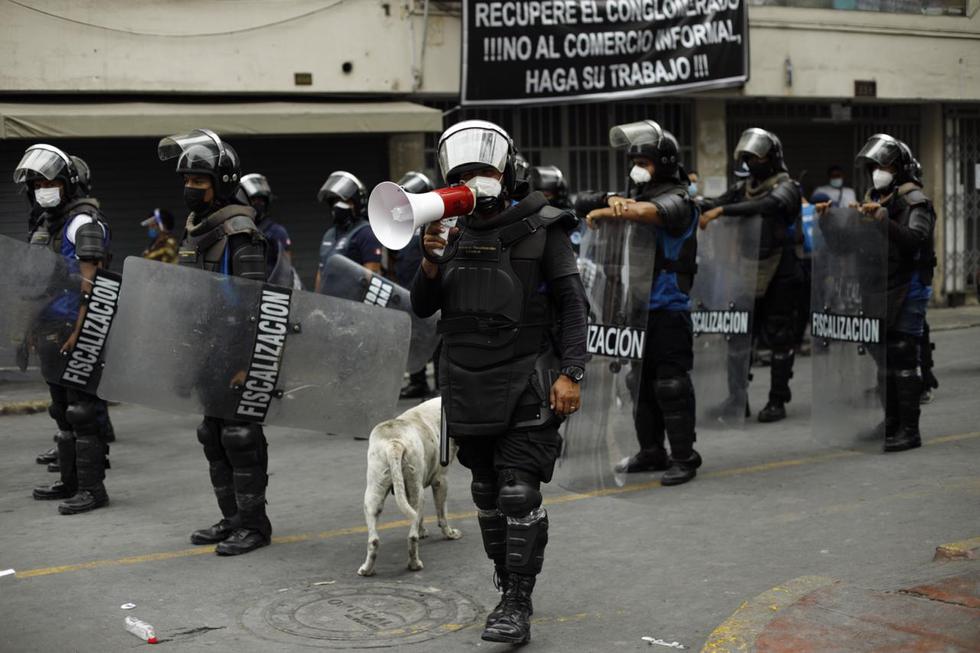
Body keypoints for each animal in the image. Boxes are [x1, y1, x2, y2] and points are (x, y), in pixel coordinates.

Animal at [358, 394, 462, 572]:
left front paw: (423, 531)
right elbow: (442, 515)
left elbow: (421, 517)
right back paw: (414, 564)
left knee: (374, 540)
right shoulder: (441, 481)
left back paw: (366, 570)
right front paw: (449, 534)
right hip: (416, 490)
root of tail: (394, 443)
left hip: (374, 493)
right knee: (412, 536)